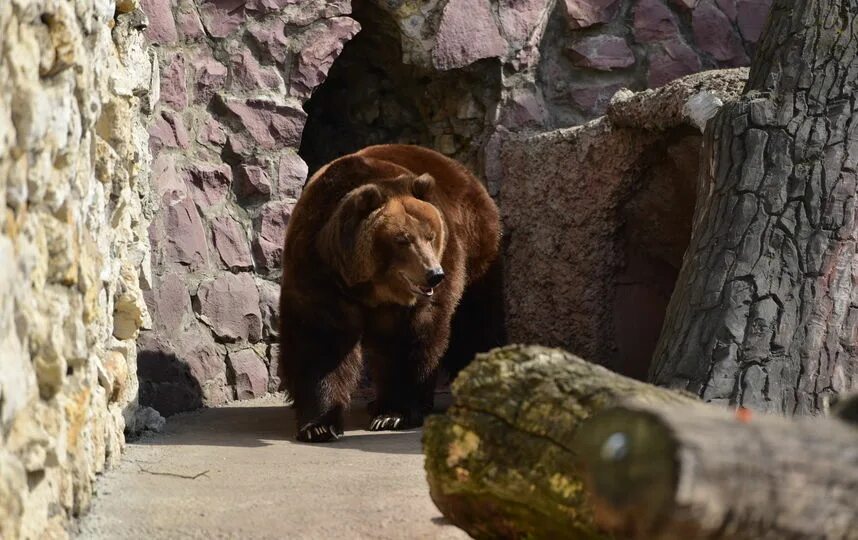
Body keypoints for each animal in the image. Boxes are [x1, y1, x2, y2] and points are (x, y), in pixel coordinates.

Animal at [278, 144, 498, 442]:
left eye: (430, 235)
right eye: (402, 239)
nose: (434, 273)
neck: (371, 285)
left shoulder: (422, 294)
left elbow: (412, 339)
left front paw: (394, 415)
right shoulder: (319, 271)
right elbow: (321, 341)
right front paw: (319, 425)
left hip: (476, 253)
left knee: (473, 323)